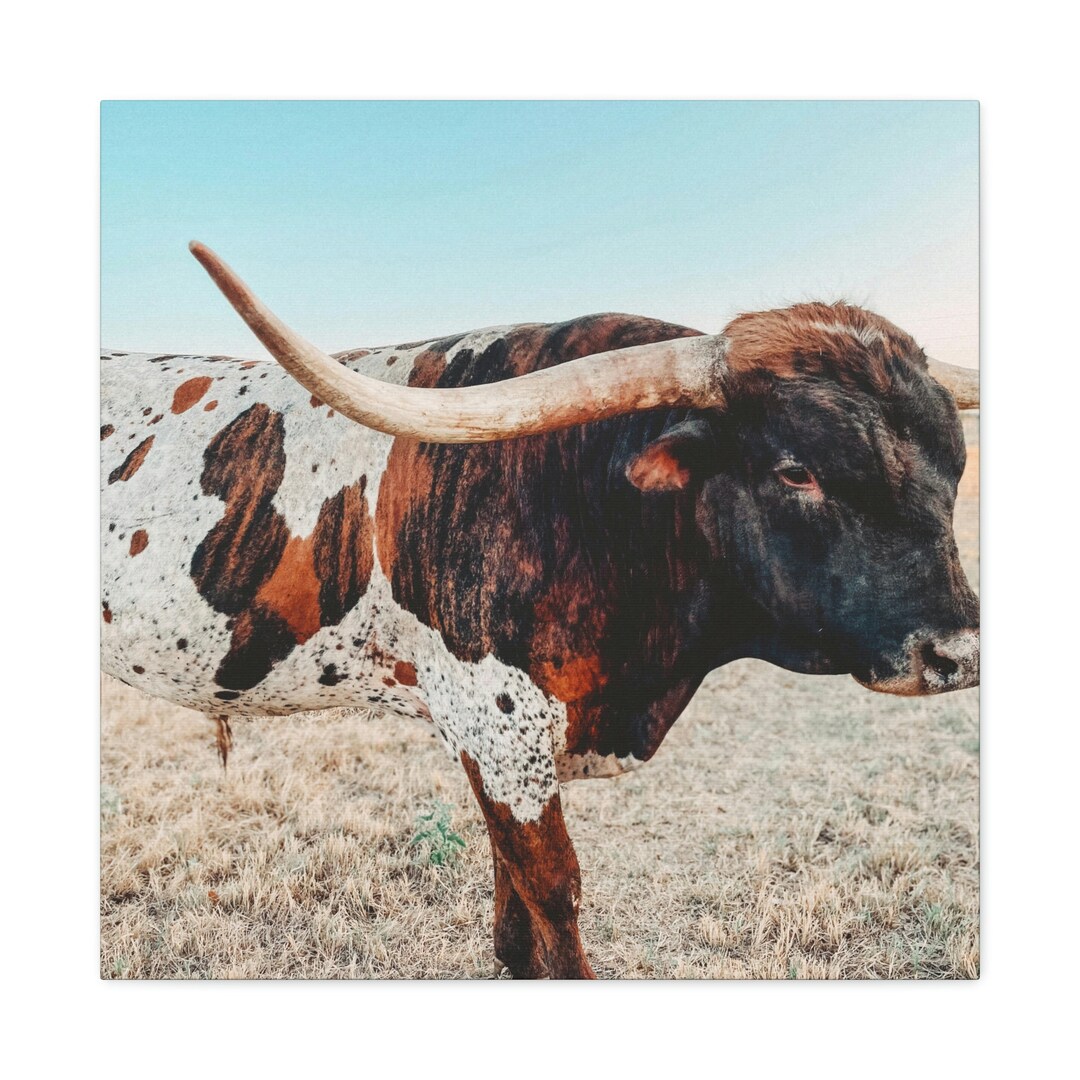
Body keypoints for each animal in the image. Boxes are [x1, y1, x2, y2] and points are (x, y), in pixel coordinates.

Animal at [100, 242, 979, 979]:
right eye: (798, 470)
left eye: (956, 462)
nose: (959, 653)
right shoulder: (497, 718)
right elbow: (554, 887)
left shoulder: (504, 742)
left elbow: (512, 887)